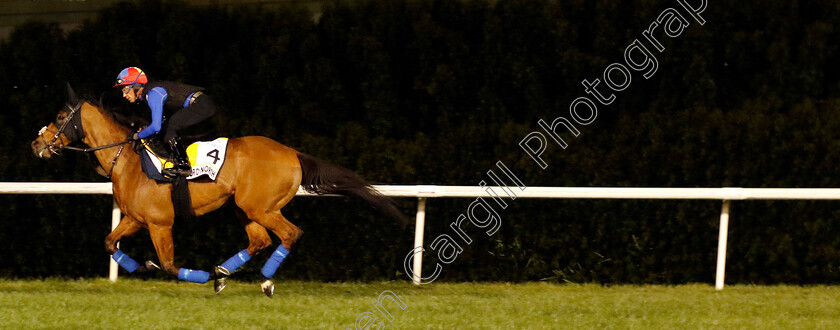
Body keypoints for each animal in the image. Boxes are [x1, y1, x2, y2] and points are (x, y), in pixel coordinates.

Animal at [32, 85, 410, 296]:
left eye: (61, 116)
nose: (37, 143)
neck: (126, 158)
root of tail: (293, 153)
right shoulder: (135, 218)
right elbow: (110, 243)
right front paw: (139, 267)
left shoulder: (159, 224)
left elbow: (169, 265)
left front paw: (168, 270)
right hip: (244, 207)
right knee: (259, 241)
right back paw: (223, 272)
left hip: (262, 207)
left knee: (290, 234)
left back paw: (262, 281)